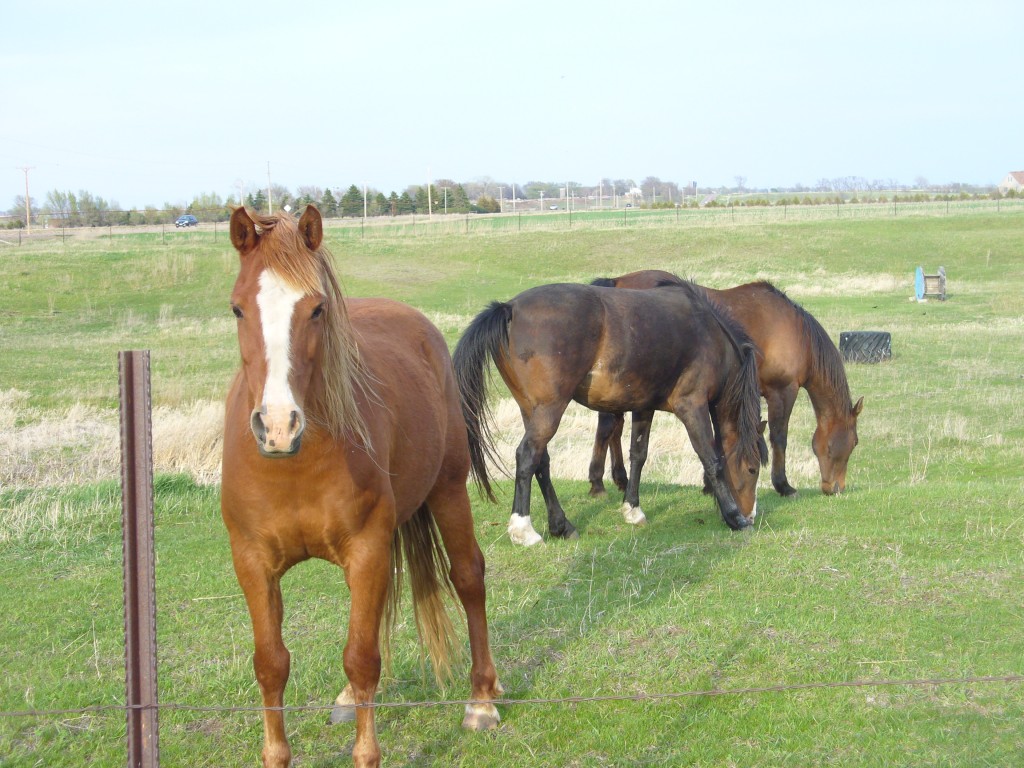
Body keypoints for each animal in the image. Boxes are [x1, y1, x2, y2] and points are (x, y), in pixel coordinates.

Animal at [220, 205, 502, 768]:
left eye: (316, 310)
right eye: (239, 309)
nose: (278, 425)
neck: (293, 465)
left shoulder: (368, 546)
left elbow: (362, 656)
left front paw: (366, 753)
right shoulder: (253, 561)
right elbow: (271, 663)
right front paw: (276, 754)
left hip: (448, 490)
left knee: (468, 577)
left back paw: (482, 699)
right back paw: (350, 700)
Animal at [453, 280, 767, 546]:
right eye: (752, 469)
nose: (751, 515)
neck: (709, 334)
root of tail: (510, 308)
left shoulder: (644, 407)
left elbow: (638, 455)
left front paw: (633, 509)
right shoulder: (693, 406)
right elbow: (712, 460)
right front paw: (734, 518)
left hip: (530, 410)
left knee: (541, 462)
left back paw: (561, 525)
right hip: (549, 411)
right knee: (527, 456)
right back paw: (524, 530)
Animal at [588, 270, 863, 498]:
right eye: (854, 443)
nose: (835, 488)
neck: (796, 331)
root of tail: (616, 282)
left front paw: (711, 485)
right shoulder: (782, 391)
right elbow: (779, 436)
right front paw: (783, 485)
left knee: (613, 428)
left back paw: (620, 479)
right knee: (608, 428)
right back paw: (599, 482)